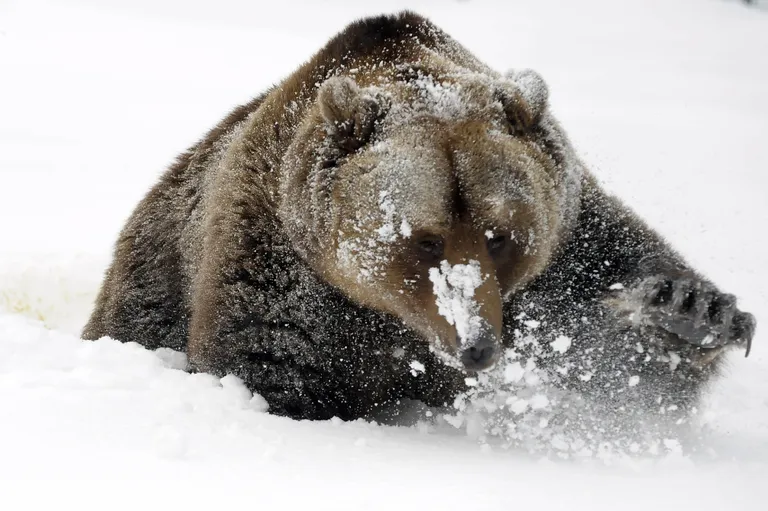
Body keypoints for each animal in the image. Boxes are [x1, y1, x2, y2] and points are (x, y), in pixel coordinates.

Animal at [79, 12, 756, 424]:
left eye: (500, 235)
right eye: (423, 239)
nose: (477, 346)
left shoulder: (571, 242)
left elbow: (624, 359)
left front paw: (687, 313)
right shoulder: (274, 263)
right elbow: (269, 368)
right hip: (149, 286)